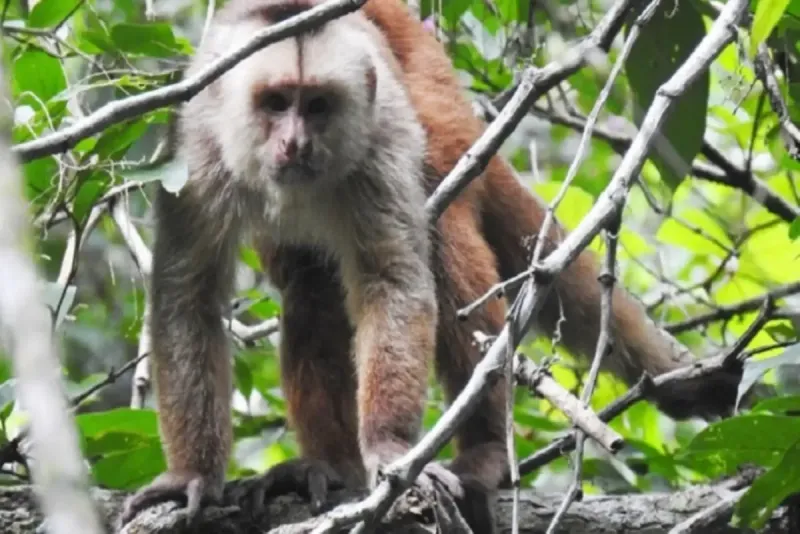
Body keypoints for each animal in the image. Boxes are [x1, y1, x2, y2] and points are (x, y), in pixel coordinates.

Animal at [121, 0, 742, 531]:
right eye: (276, 103)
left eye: (317, 106)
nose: (295, 143)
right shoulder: (196, 149)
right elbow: (188, 296)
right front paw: (192, 475)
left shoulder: (380, 142)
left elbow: (394, 281)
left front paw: (389, 448)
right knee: (311, 287)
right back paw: (329, 467)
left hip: (439, 102)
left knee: (442, 236)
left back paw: (484, 450)